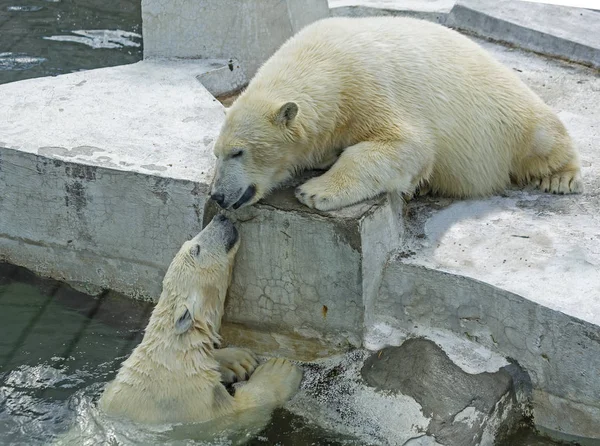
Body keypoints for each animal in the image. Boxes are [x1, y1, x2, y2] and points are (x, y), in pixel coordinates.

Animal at [100, 216, 302, 432]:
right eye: (196, 249)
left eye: (190, 243)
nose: (221, 217)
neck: (176, 356)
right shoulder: (196, 406)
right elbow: (242, 410)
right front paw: (279, 370)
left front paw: (240, 359)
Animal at [210, 16, 580, 212]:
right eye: (217, 153)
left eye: (238, 152)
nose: (217, 195)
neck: (322, 65)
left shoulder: (366, 88)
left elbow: (407, 144)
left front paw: (315, 191)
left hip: (513, 119)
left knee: (544, 138)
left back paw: (561, 178)